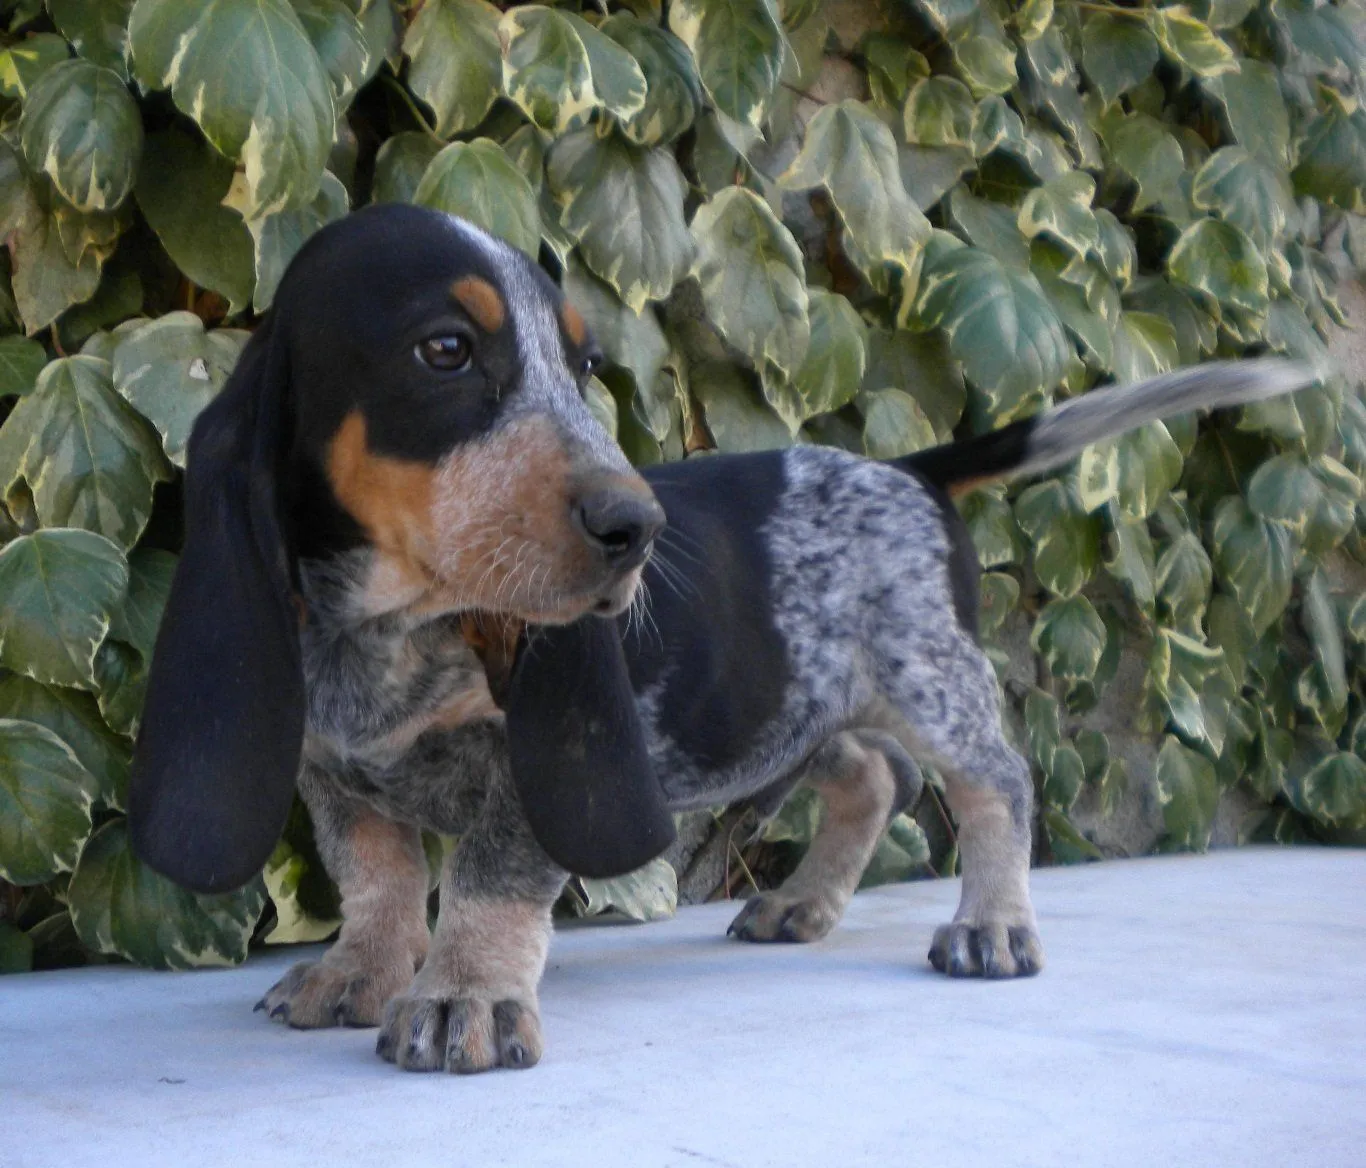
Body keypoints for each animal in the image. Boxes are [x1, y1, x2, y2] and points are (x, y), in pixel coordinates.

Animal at [128, 204, 1311, 1071]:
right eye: (446, 350)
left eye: (586, 367)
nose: (635, 527)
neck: (390, 629)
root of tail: (906, 470)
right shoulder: (334, 768)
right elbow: (374, 878)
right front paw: (361, 974)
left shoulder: (529, 757)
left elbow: (490, 877)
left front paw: (467, 993)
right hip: (782, 704)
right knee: (872, 780)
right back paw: (800, 903)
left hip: (927, 676)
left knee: (995, 784)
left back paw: (992, 923)